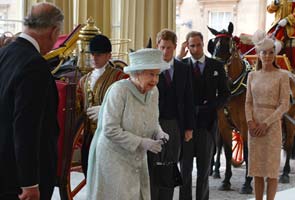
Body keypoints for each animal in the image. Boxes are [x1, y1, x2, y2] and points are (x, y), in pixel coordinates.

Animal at [207, 22, 253, 194]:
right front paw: (226, 180)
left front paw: (247, 184)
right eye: (213, 44)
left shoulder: (246, 125)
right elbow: (226, 151)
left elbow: (247, 152)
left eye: (228, 45)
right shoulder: (223, 124)